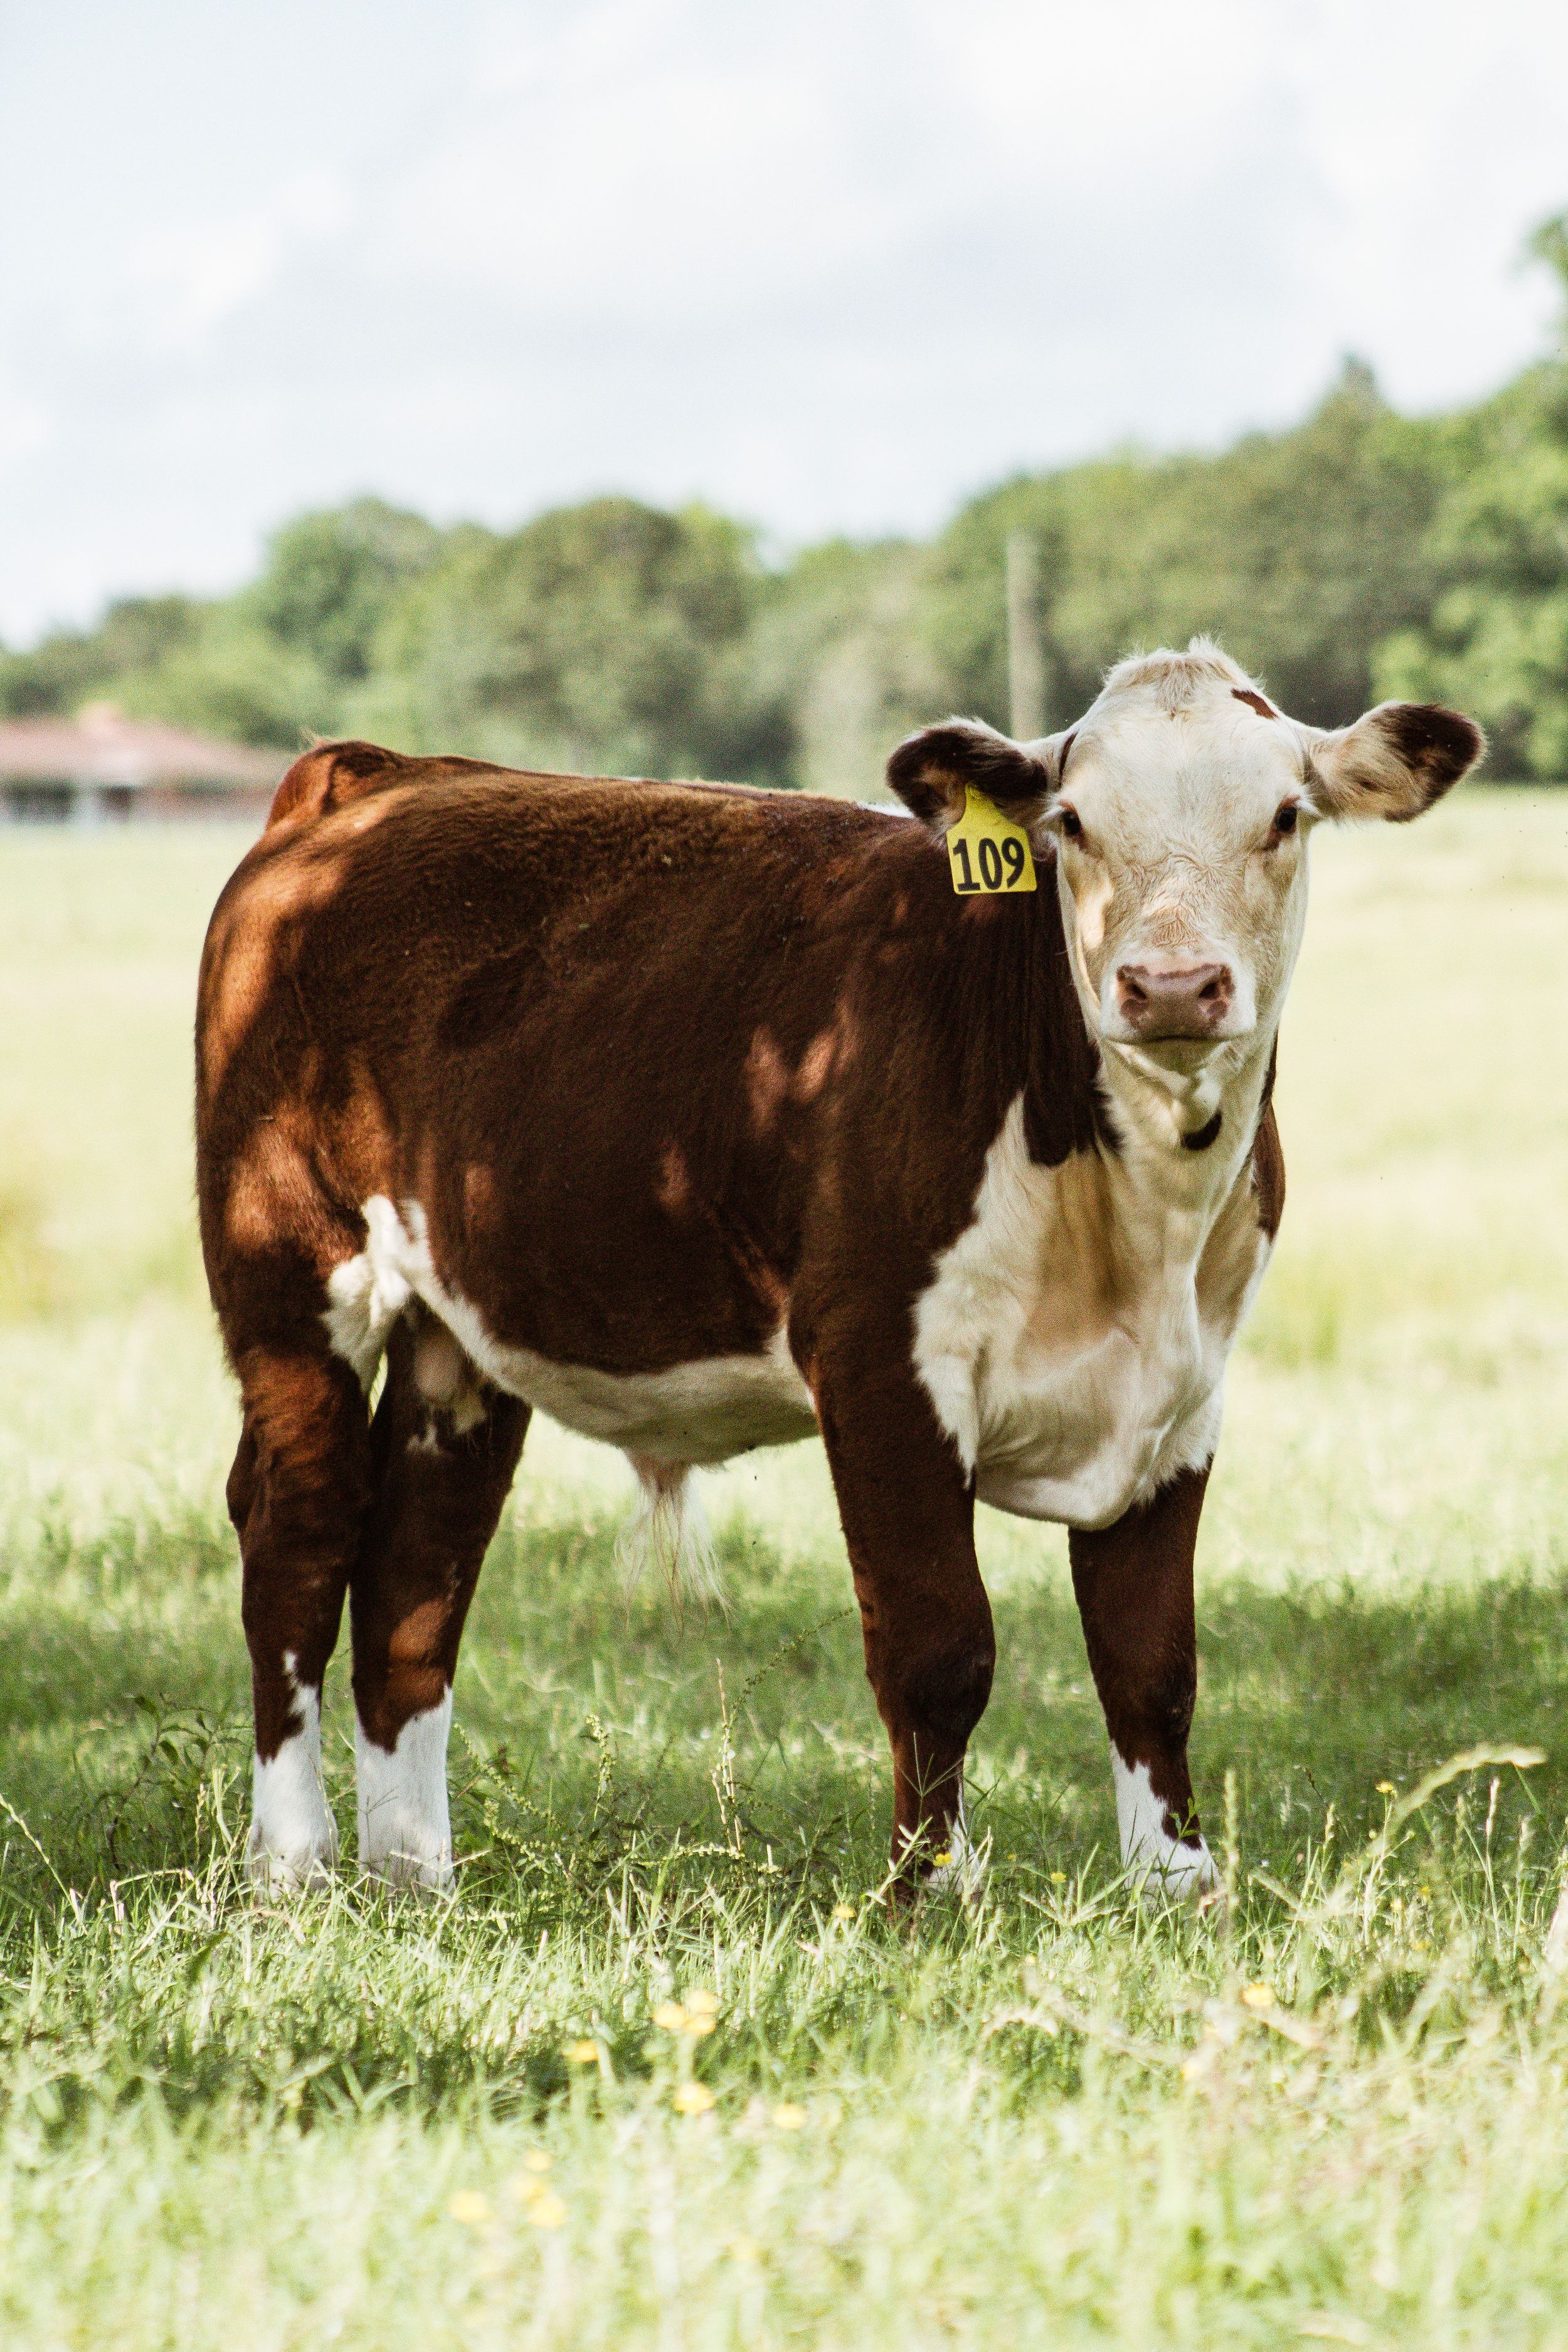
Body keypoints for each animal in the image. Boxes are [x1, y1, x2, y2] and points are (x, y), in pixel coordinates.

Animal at [195, 638, 1482, 1899]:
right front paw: (931, 1895)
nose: (1170, 985)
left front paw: (1179, 1890)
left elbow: (1151, 1659)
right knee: (301, 1531)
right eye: (1071, 822)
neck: (1134, 1225)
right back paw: (295, 1863)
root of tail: (379, 776)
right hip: (289, 1266)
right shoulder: (879, 1360)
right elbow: (939, 1650)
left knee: (415, 1572)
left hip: (456, 1331)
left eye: (1283, 816)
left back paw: (417, 1877)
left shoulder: (1189, 1388)